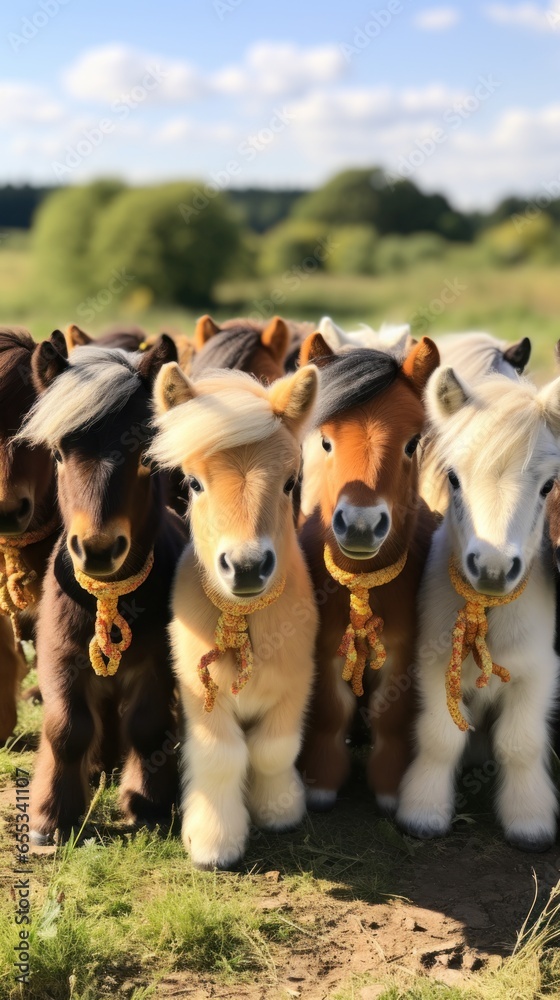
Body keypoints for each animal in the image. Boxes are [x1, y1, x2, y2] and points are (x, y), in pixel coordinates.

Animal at [18, 338, 185, 844]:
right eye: (57, 454)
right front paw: (51, 816)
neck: (108, 599)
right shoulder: (61, 655)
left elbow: (148, 727)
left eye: (146, 456)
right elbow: (67, 728)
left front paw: (147, 803)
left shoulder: (157, 662)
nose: (97, 549)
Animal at [151, 362, 320, 868]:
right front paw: (213, 840)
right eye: (193, 483)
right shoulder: (196, 693)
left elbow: (273, 749)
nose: (246, 566)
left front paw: (279, 808)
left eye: (290, 482)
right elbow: (220, 756)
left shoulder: (296, 683)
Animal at [296, 334, 440, 812]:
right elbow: (329, 710)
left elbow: (391, 715)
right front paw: (322, 780)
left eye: (412, 443)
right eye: (325, 442)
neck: (361, 583)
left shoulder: (402, 651)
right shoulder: (323, 647)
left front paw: (391, 786)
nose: (360, 524)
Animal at [396, 368, 560, 852]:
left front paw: (529, 818)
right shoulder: (434, 669)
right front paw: (424, 811)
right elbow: (441, 737)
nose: (492, 567)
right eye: (453, 478)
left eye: (548, 486)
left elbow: (520, 743)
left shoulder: (537, 673)